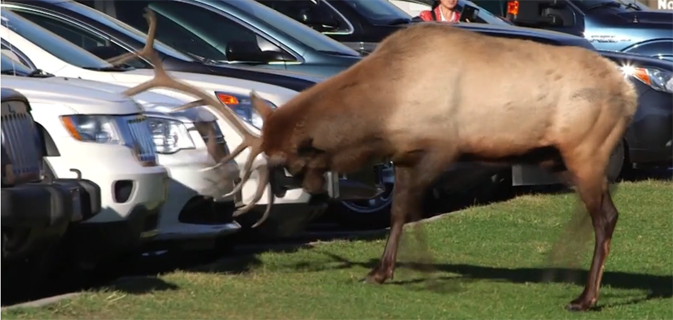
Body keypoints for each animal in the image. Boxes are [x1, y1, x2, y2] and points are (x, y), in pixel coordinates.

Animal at [110, 8, 636, 312]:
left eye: (285, 161)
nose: (312, 193)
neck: (383, 107)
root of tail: (628, 92)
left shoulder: (436, 147)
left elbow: (410, 210)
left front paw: (422, 275)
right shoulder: (404, 153)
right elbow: (400, 212)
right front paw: (382, 271)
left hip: (586, 147)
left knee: (607, 216)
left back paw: (586, 297)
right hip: (569, 156)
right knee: (590, 214)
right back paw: (560, 272)